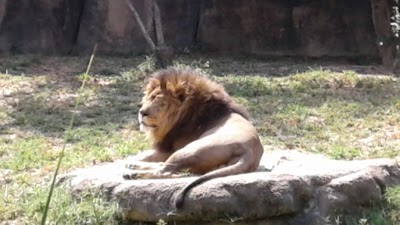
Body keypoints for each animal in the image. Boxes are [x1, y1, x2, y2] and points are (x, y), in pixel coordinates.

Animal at [123, 67, 264, 209]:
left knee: (165, 171)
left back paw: (132, 174)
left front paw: (132, 161)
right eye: (150, 98)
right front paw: (131, 159)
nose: (142, 113)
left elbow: (149, 155)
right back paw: (133, 166)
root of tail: (250, 153)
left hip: (189, 149)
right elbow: (145, 154)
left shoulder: (171, 149)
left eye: (161, 103)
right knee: (168, 167)